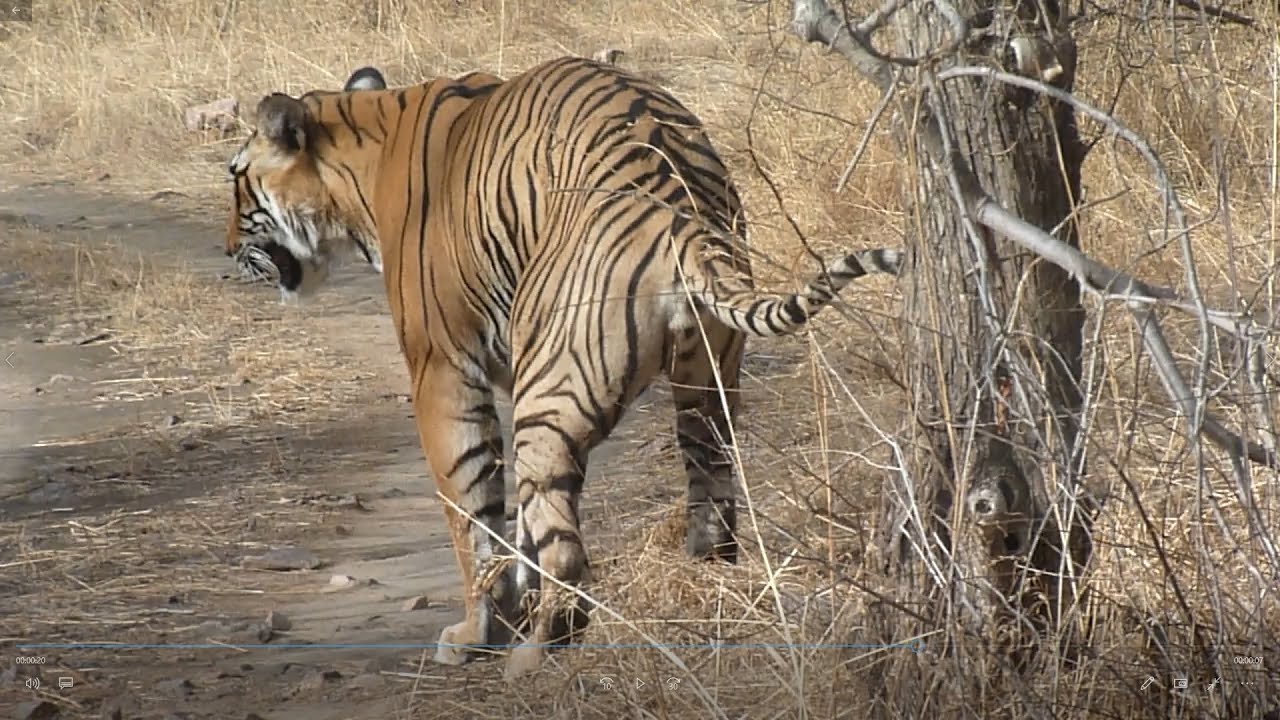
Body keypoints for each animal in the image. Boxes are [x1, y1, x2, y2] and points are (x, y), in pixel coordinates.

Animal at [225, 55, 902, 679]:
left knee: (568, 552)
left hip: (549, 393)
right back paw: (701, 591)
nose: (228, 250)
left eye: (237, 182)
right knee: (711, 496)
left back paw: (533, 654)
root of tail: (681, 207)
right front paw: (513, 607)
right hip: (707, 385)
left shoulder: (441, 370)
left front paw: (477, 632)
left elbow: (473, 513)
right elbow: (517, 522)